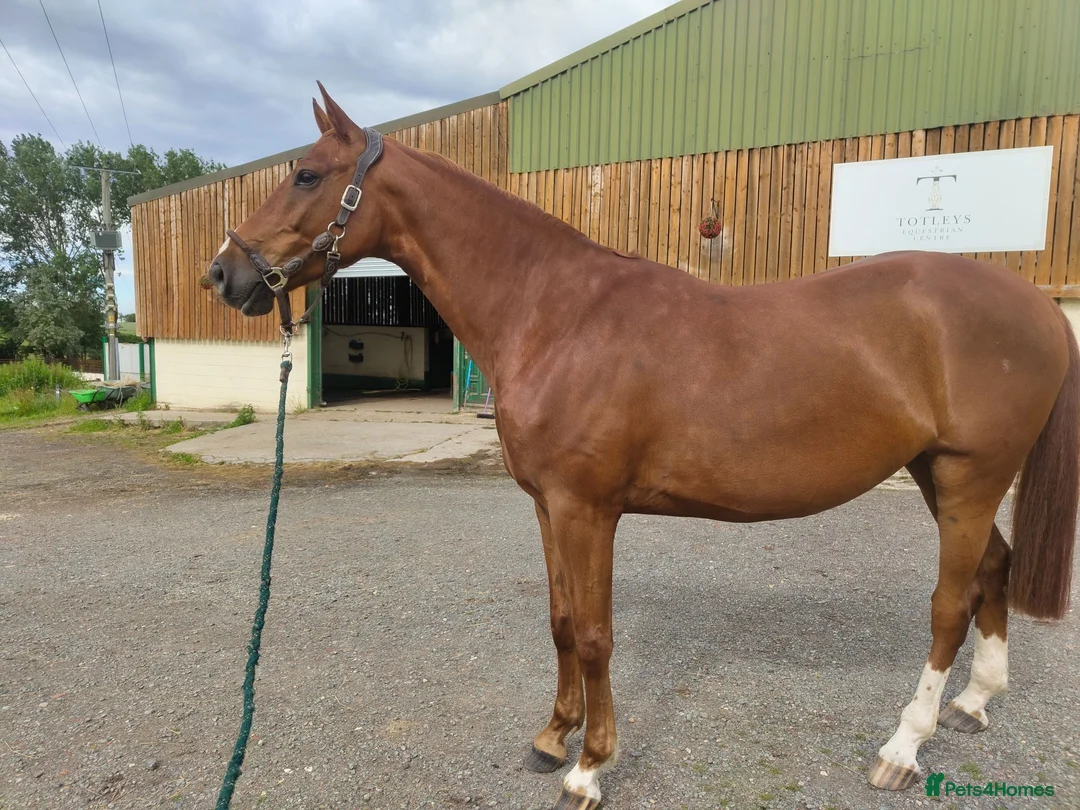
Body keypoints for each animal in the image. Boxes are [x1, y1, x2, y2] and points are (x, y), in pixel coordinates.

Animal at [206, 83, 1078, 808]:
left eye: (307, 176)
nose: (223, 275)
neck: (556, 312)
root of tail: (1037, 304)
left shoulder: (587, 509)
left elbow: (595, 635)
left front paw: (590, 766)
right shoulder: (548, 508)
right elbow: (561, 621)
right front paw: (551, 738)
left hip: (971, 478)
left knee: (948, 605)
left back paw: (902, 747)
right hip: (938, 475)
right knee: (993, 571)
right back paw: (974, 704)